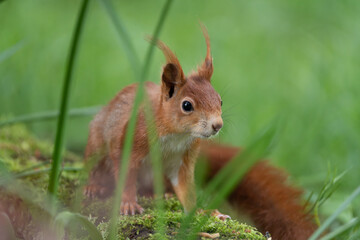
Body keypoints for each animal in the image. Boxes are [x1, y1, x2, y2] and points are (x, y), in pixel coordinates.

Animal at [84, 25, 224, 216]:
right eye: (187, 105)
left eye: (220, 101)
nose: (217, 125)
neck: (176, 135)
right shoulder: (132, 139)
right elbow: (126, 176)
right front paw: (128, 203)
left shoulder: (183, 159)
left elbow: (185, 187)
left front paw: (200, 211)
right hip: (97, 145)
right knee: (94, 167)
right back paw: (93, 187)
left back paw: (157, 195)